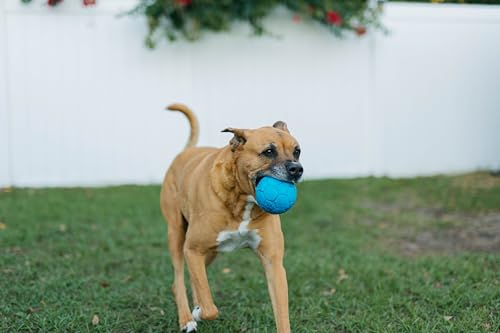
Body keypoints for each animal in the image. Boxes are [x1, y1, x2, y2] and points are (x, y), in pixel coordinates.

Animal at [160, 102, 302, 330]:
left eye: (297, 151)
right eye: (269, 151)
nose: (297, 169)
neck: (241, 200)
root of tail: (186, 152)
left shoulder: (274, 264)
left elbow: (282, 315)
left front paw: (199, 307)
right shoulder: (192, 249)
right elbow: (210, 309)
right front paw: (198, 312)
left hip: (210, 251)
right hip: (177, 236)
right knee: (179, 280)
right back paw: (187, 318)